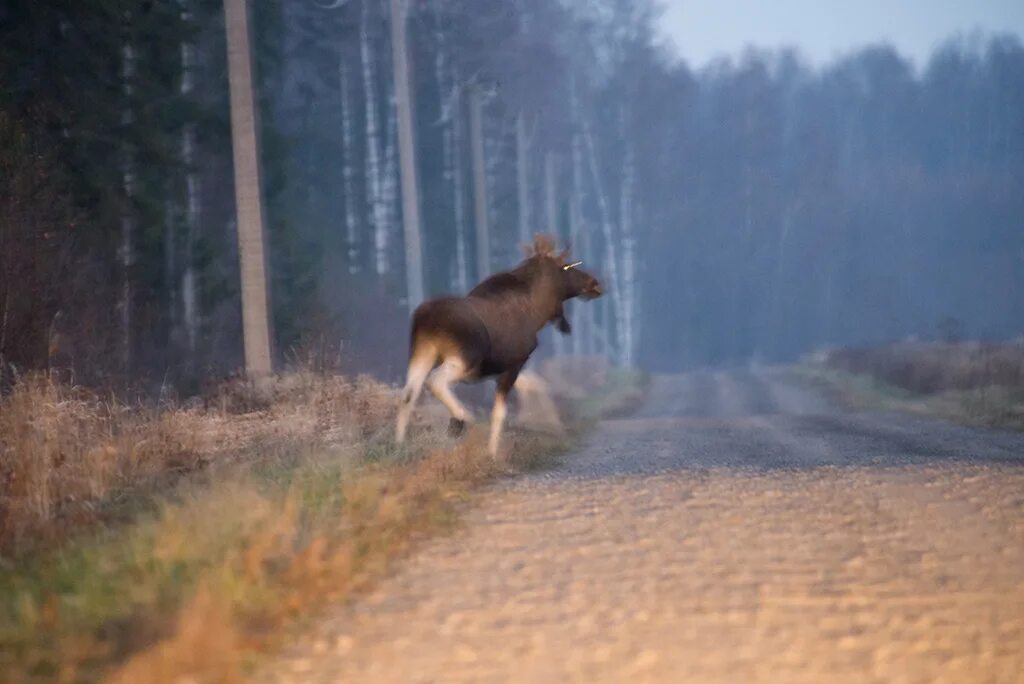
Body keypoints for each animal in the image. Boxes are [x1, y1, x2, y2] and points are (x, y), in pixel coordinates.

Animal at [391, 235, 598, 454]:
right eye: (567, 267)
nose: (595, 283)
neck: (538, 313)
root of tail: (425, 318)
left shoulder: (505, 367)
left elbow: (534, 386)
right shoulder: (514, 364)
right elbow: (499, 413)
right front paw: (492, 453)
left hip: (422, 352)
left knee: (407, 395)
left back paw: (399, 445)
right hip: (464, 358)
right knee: (434, 381)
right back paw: (461, 418)